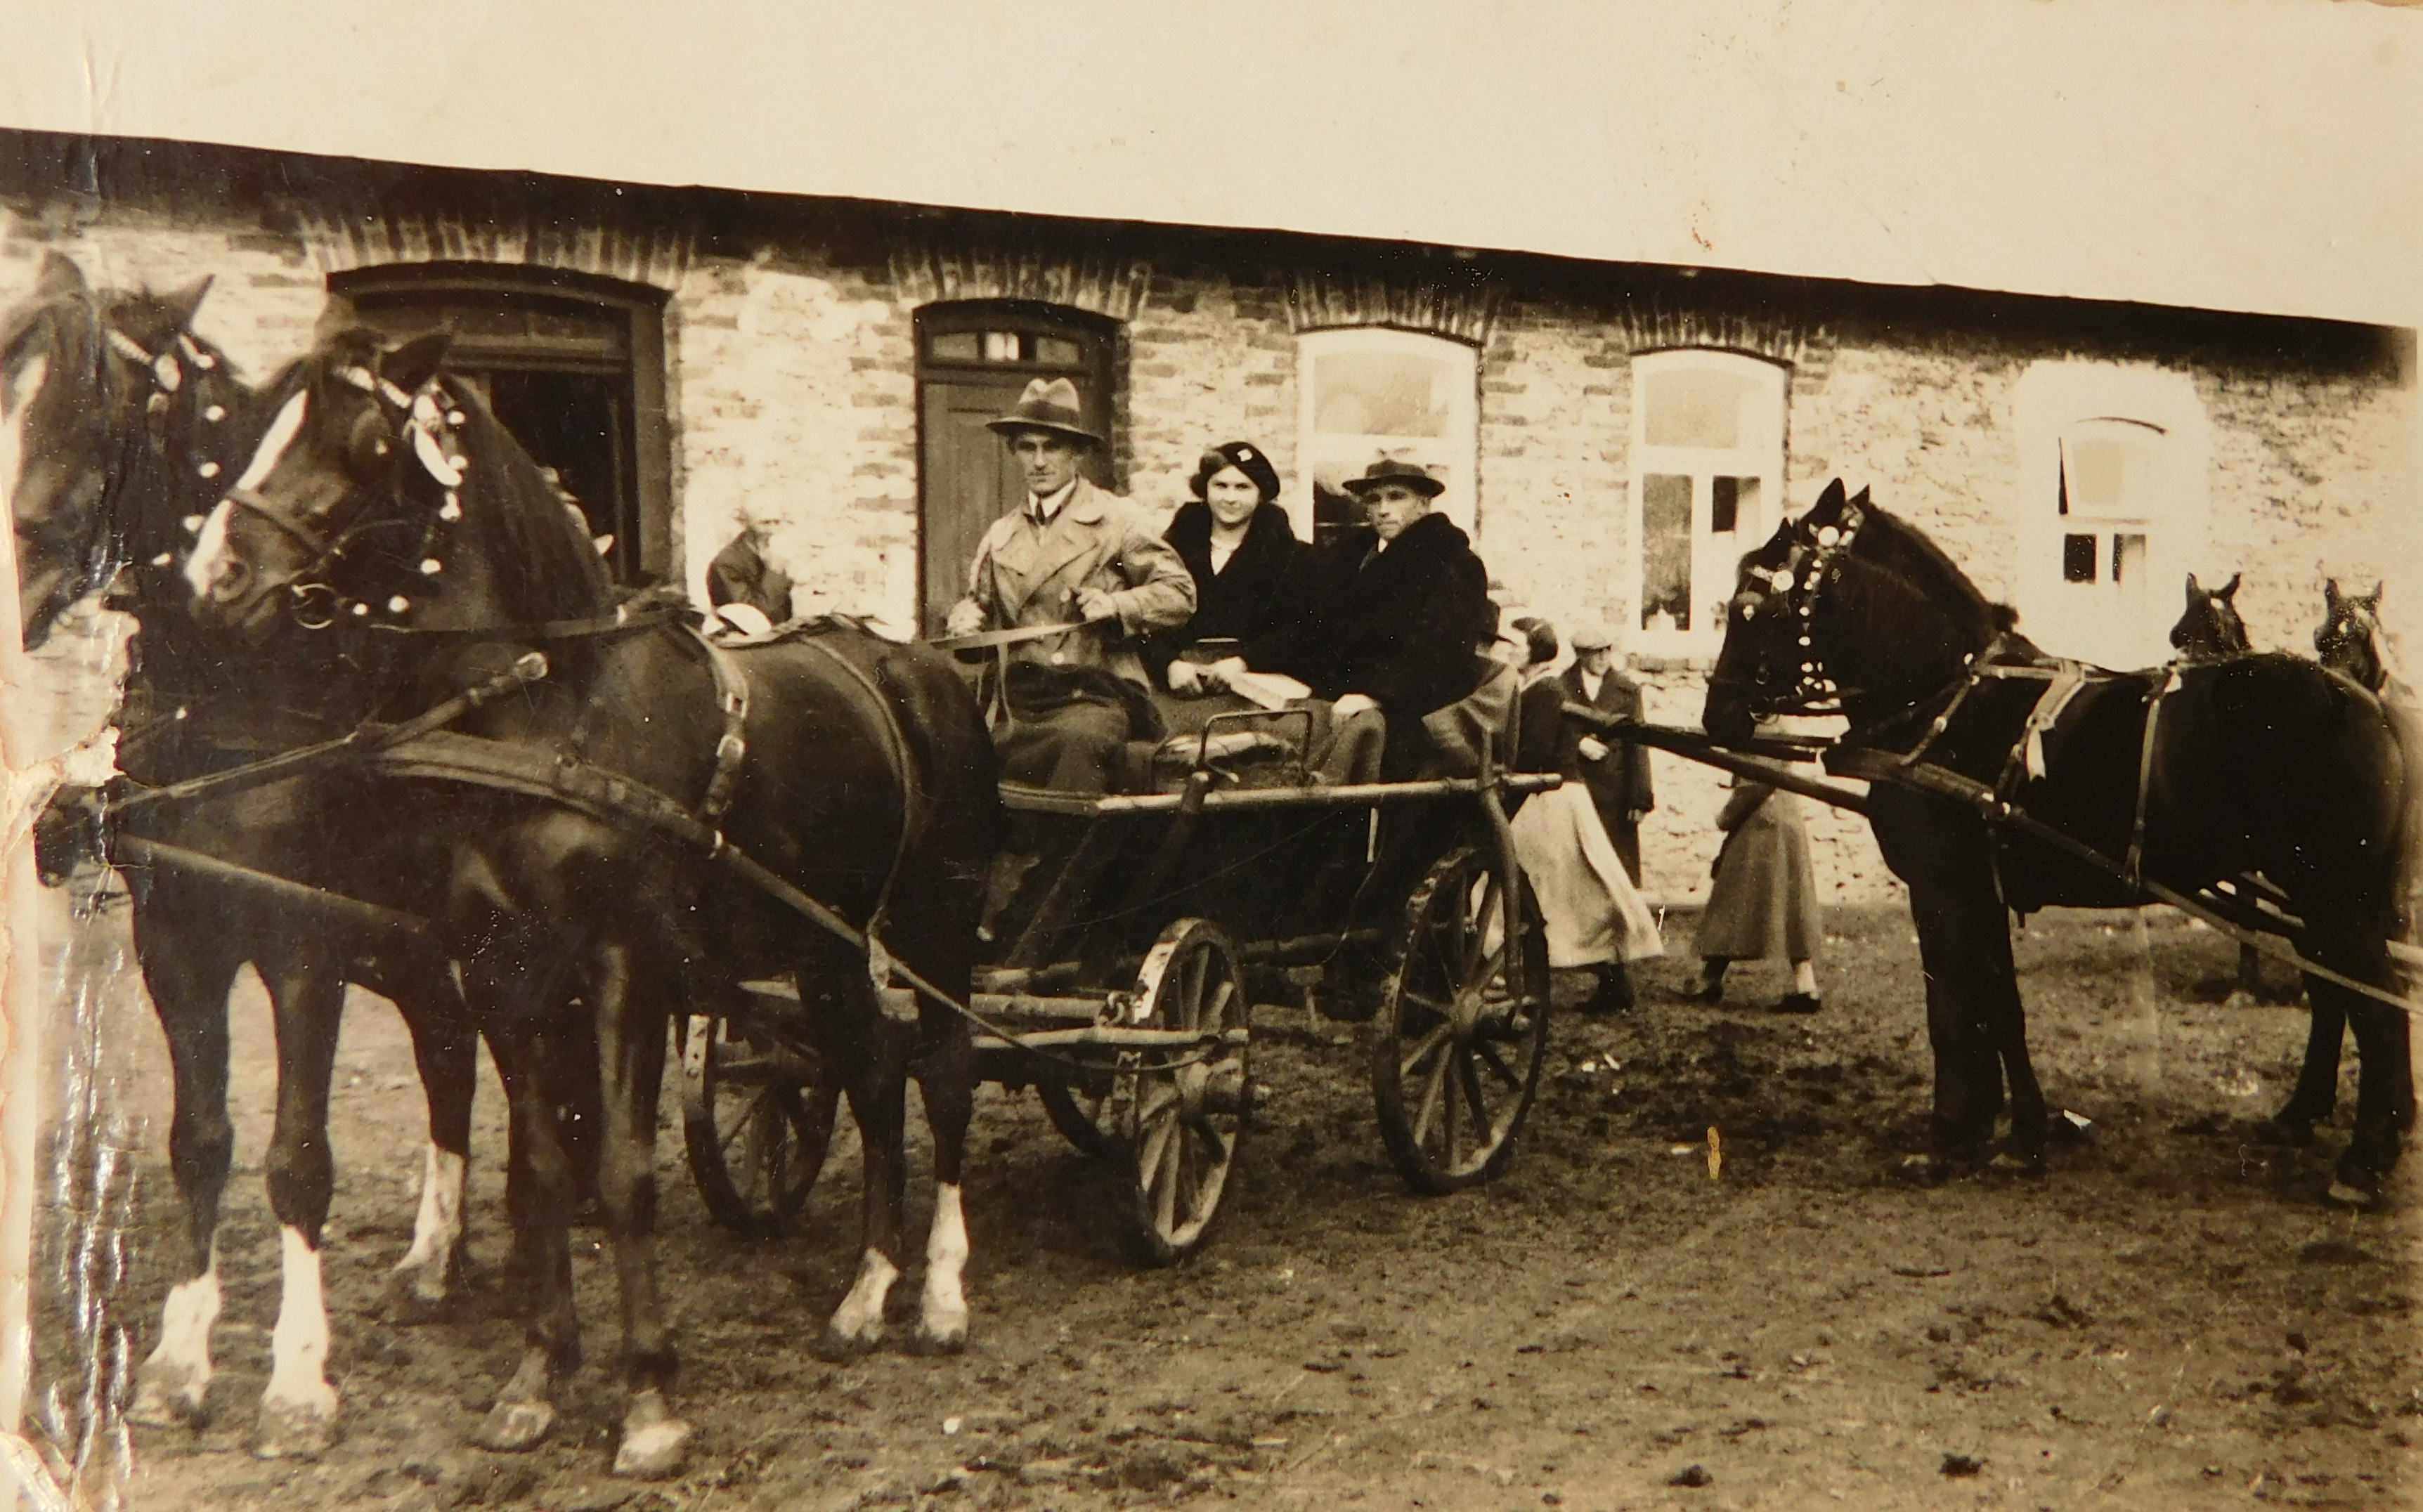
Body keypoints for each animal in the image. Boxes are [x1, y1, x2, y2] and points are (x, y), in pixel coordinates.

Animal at [3, 253, 507, 1460]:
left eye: (96, 401)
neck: (234, 689)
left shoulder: (303, 947)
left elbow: (295, 1159)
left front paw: (297, 1383)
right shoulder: (175, 942)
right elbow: (201, 1139)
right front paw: (180, 1362)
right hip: (412, 945)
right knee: (449, 1052)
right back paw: (434, 1256)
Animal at [178, 326, 999, 1477]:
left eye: (370, 439)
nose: (217, 576)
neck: (553, 711)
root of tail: (922, 663)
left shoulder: (627, 966)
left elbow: (621, 1173)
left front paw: (650, 1399)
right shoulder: (502, 969)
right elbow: (541, 1172)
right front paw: (535, 1379)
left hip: (938, 919)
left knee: (948, 1072)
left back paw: (939, 1293)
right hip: (826, 941)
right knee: (875, 1070)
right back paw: (866, 1290)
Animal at [1703, 479, 2415, 1207]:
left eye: (1756, 607)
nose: (1717, 713)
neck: (1947, 703)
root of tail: (2364, 701)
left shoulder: (1943, 887)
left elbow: (1953, 1009)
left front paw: (1951, 1135)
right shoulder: (1983, 891)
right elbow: (1999, 1007)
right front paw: (2020, 1135)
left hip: (2333, 900)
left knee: (2378, 1008)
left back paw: (2364, 1161)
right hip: (2315, 900)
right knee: (2341, 999)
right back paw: (2322, 1123)